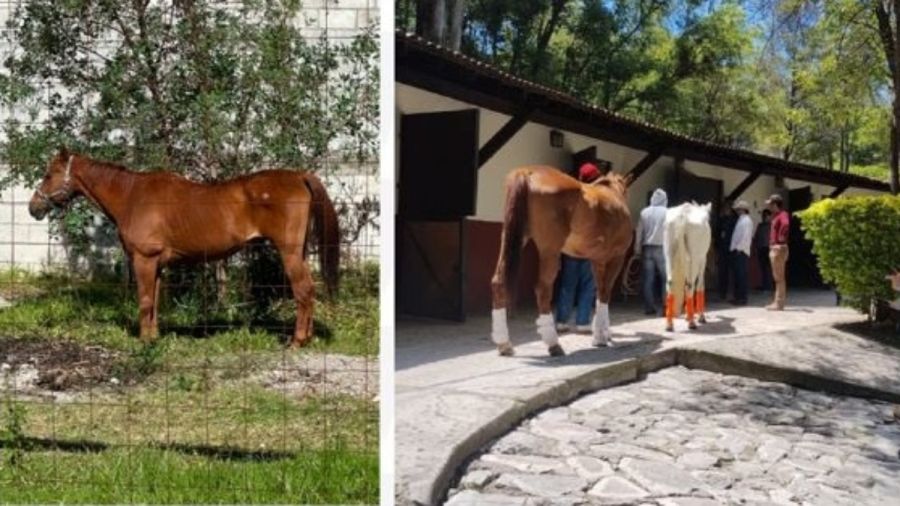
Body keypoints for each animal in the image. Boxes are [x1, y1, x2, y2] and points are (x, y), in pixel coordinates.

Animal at [28, 148, 340, 347]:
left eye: (48, 174)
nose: (34, 207)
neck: (132, 195)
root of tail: (299, 176)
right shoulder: (156, 264)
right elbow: (154, 301)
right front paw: (153, 337)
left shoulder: (144, 259)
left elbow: (144, 300)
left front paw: (143, 343)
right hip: (299, 252)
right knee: (308, 292)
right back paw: (307, 337)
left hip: (289, 252)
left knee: (303, 291)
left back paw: (297, 341)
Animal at [489, 166, 634, 357]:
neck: (612, 194)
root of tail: (527, 172)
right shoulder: (617, 257)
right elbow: (604, 293)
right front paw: (600, 337)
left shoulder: (597, 260)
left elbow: (600, 291)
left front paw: (603, 332)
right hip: (550, 251)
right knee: (543, 289)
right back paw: (553, 344)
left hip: (512, 238)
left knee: (498, 282)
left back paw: (504, 343)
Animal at [663, 202, 712, 332]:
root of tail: (682, 217)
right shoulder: (702, 259)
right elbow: (700, 285)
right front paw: (700, 317)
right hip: (694, 258)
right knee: (690, 285)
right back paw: (692, 323)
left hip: (669, 254)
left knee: (670, 282)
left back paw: (669, 324)